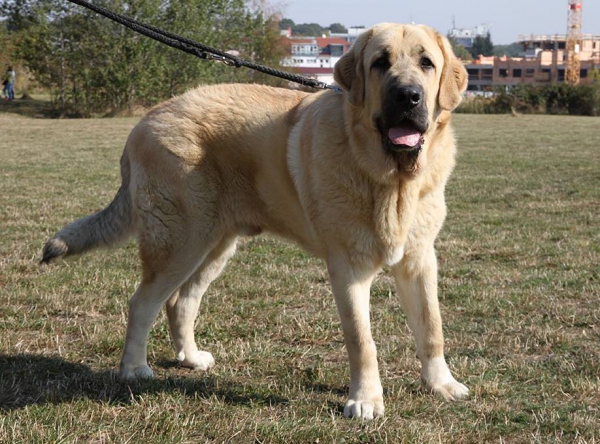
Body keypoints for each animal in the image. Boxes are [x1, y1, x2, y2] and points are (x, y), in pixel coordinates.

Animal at [44, 23, 472, 420]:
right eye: (380, 63)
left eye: (426, 63)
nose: (408, 96)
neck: (391, 182)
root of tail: (145, 121)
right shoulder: (348, 269)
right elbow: (362, 341)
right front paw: (365, 400)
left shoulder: (419, 261)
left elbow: (432, 327)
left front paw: (441, 384)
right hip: (180, 243)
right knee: (143, 303)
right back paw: (134, 368)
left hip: (215, 246)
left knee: (182, 302)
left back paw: (190, 358)